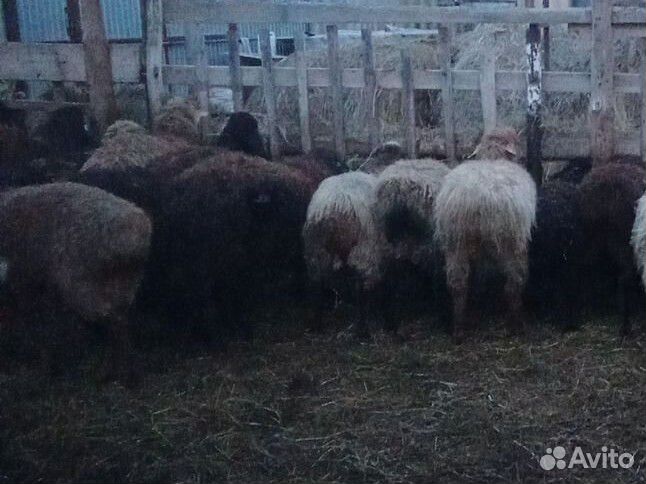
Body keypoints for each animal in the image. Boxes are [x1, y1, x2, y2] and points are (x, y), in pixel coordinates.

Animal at [0, 182, 152, 379]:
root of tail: (135, 227)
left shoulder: (24, 280)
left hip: (81, 283)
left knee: (111, 321)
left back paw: (113, 373)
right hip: (124, 283)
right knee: (120, 319)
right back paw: (126, 370)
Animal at [302, 171, 383, 335]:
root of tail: (336, 204)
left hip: (316, 248)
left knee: (316, 283)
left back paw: (317, 324)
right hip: (364, 247)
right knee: (363, 286)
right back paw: (362, 329)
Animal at [434, 152, 536, 342]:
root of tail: (477, 197)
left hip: (455, 243)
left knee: (458, 283)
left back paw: (459, 329)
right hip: (510, 243)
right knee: (514, 282)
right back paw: (517, 324)